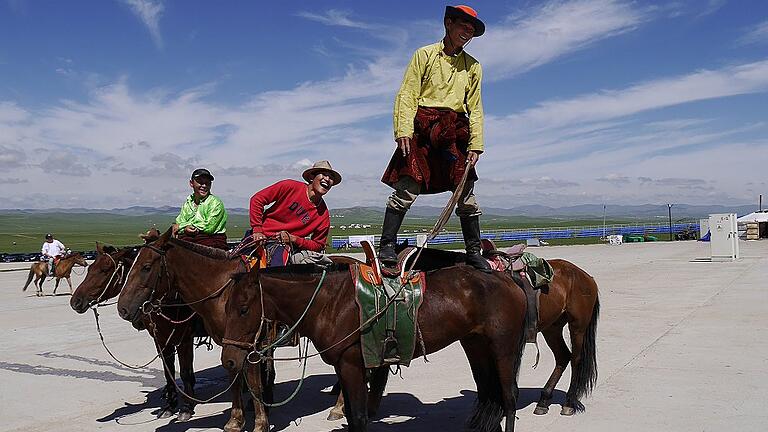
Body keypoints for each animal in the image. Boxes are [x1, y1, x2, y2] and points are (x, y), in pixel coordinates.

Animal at [70, 241, 200, 424]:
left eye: (105, 270)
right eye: (89, 268)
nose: (75, 301)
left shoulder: (184, 338)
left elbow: (185, 372)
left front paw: (187, 407)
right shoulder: (160, 339)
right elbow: (168, 371)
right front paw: (169, 405)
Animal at [220, 264, 528, 432]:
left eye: (244, 309)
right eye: (226, 308)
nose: (230, 361)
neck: (331, 303)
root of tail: (507, 278)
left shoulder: (352, 366)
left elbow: (358, 417)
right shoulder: (343, 368)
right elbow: (352, 414)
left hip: (503, 347)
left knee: (509, 396)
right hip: (476, 345)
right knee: (489, 392)